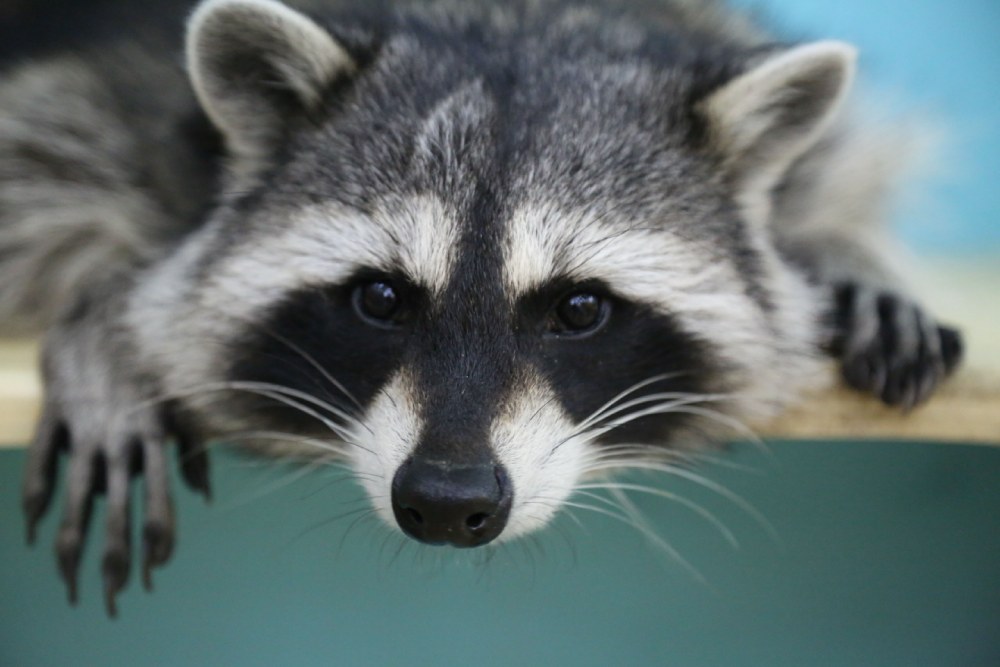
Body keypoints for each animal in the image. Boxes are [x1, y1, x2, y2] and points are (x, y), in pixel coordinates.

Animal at [3, 0, 964, 616]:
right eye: (381, 298)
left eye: (579, 308)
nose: (445, 501)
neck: (507, 16)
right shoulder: (129, 89)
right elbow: (48, 156)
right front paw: (104, 319)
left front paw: (840, 252)